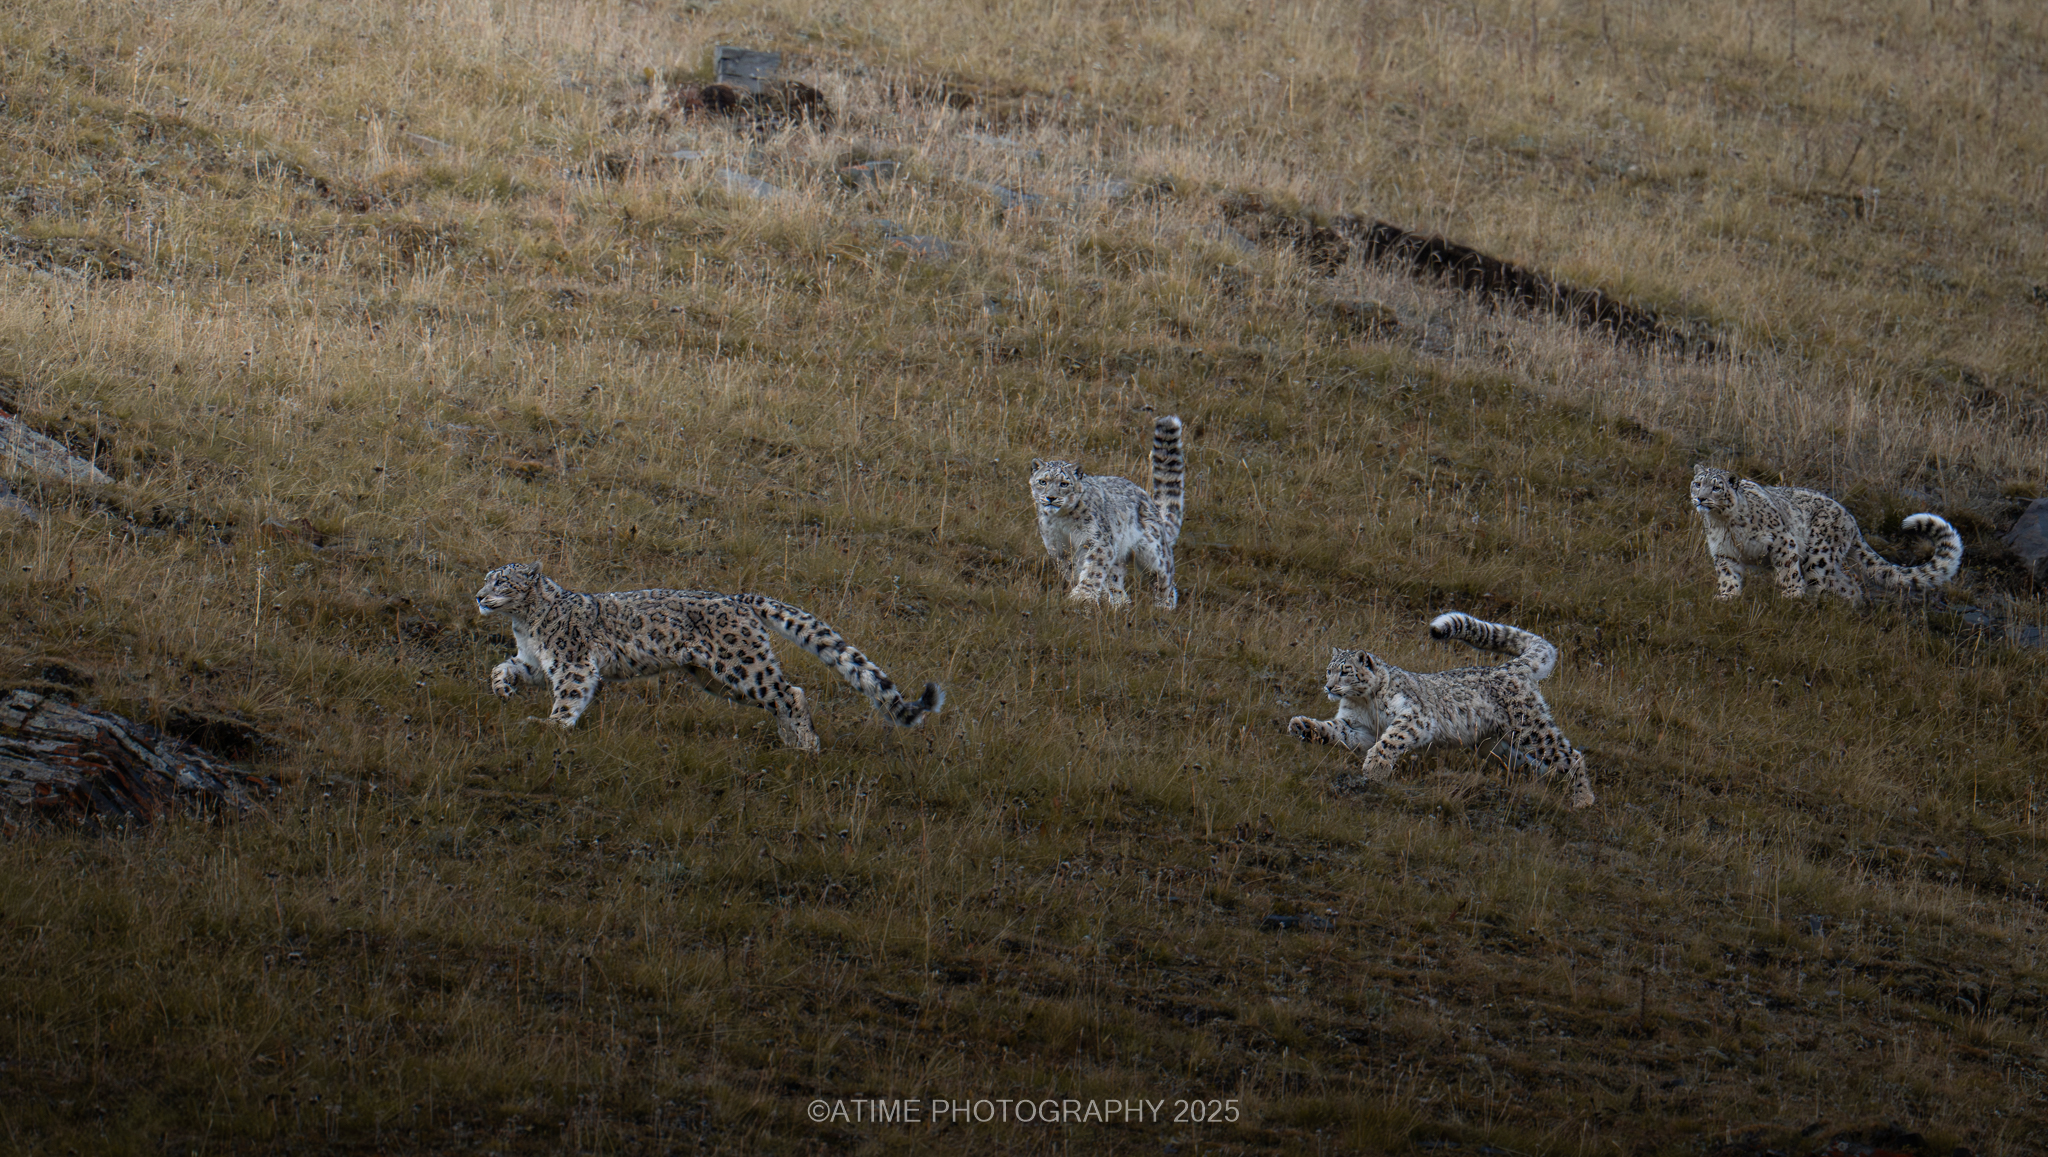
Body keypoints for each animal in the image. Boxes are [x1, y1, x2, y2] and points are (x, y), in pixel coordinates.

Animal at [474, 562, 943, 751]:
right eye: (487, 578)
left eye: (501, 581)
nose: (478, 596)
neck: (524, 624)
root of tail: (739, 598)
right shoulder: (535, 661)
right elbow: (504, 664)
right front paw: (502, 689)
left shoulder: (571, 663)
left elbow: (569, 697)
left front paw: (550, 726)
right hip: (717, 677)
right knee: (786, 694)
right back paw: (792, 741)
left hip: (740, 666)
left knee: (789, 692)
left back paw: (806, 747)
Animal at [1030, 413, 1184, 608]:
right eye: (1042, 481)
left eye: (1064, 484)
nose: (1050, 497)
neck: (1061, 520)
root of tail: (1150, 502)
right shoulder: (1058, 546)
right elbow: (1072, 569)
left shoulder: (1098, 540)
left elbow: (1094, 568)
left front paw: (1082, 595)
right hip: (1119, 555)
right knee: (1115, 578)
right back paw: (1119, 603)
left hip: (1153, 549)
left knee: (1165, 574)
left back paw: (1163, 606)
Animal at [1287, 612, 1595, 810]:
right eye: (1329, 670)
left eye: (1345, 671)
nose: (1328, 686)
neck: (1364, 704)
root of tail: (1508, 667)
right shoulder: (1356, 726)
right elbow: (1334, 730)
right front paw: (1304, 726)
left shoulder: (1415, 715)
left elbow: (1391, 738)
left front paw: (1375, 767)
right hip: (1502, 746)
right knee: (1540, 762)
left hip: (1531, 729)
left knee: (1572, 755)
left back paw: (1583, 799)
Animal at [1689, 464, 1962, 604]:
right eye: (1697, 482)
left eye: (1716, 487)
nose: (1700, 498)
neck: (1725, 524)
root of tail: (1851, 519)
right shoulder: (1724, 553)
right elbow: (1728, 576)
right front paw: (1726, 596)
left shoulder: (1782, 540)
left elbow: (1788, 569)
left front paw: (1791, 593)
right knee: (1848, 585)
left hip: (1819, 555)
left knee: (1828, 581)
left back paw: (1815, 602)